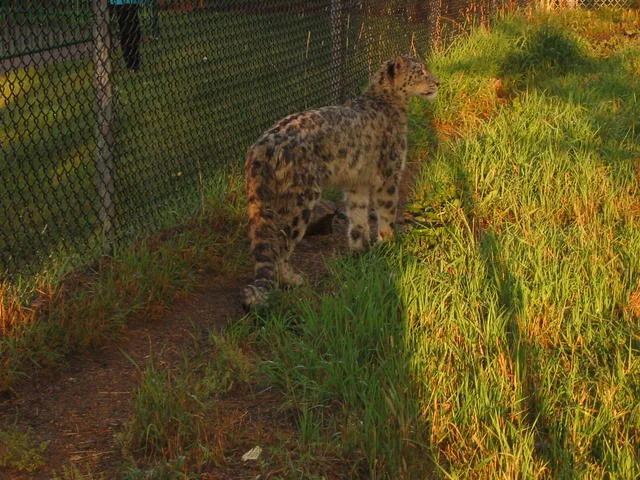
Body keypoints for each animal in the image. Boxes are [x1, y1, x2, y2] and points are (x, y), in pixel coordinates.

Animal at [243, 55, 439, 309]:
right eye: (419, 71)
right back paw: (292, 279)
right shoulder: (389, 175)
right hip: (300, 200)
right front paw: (389, 245)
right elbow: (387, 213)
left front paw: (360, 251)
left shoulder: (357, 183)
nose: (437, 83)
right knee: (281, 243)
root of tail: (261, 146)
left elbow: (358, 218)